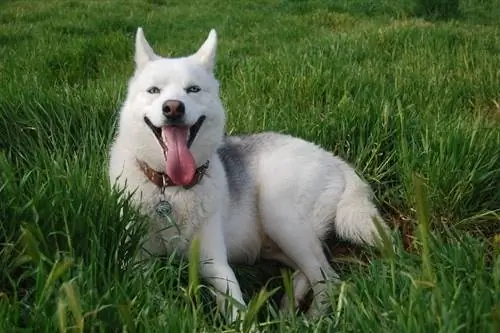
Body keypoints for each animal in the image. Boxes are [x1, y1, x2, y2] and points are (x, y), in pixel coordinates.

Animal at [109, 27, 388, 320]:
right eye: (154, 90)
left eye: (193, 89)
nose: (173, 107)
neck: (170, 189)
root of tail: (334, 159)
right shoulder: (138, 263)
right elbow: (152, 298)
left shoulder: (215, 263)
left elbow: (238, 311)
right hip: (273, 242)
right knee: (311, 268)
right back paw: (289, 307)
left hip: (280, 216)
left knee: (327, 278)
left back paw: (310, 318)